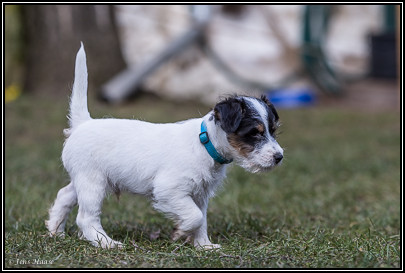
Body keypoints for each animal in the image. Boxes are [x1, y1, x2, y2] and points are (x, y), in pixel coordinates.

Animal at [45, 42, 282, 249]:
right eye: (254, 133)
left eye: (273, 130)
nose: (279, 157)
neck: (204, 143)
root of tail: (83, 123)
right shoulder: (170, 190)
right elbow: (195, 217)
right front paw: (180, 232)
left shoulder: (200, 194)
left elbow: (202, 220)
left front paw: (203, 246)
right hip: (93, 182)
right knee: (86, 217)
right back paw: (107, 243)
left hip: (84, 180)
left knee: (64, 195)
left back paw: (55, 231)